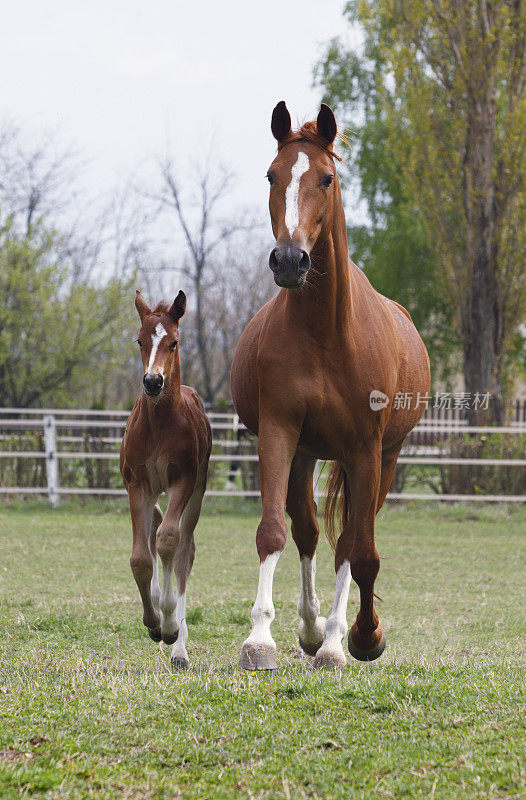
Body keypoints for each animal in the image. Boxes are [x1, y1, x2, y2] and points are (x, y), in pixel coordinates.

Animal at [233, 101, 432, 668]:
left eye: (326, 177)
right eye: (272, 175)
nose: (289, 260)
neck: (326, 331)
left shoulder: (365, 450)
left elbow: (359, 552)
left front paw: (351, 640)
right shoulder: (279, 432)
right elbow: (275, 531)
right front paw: (261, 639)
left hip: (383, 458)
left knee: (354, 540)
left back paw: (346, 634)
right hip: (307, 453)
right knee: (307, 530)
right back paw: (310, 626)